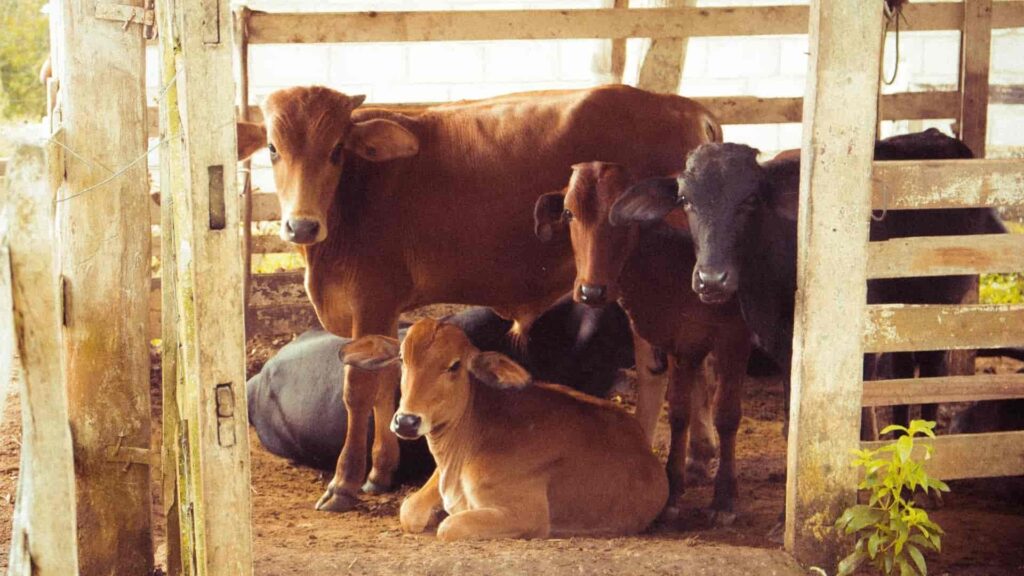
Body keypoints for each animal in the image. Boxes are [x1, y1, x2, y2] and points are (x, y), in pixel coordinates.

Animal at [235, 84, 720, 512]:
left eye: (337, 149)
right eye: (273, 148)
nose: (301, 225)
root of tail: (689, 109)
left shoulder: (370, 298)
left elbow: (358, 390)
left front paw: (344, 483)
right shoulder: (384, 309)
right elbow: (385, 381)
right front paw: (380, 471)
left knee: (662, 368)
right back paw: (700, 455)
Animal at [339, 318, 668, 540]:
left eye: (455, 366)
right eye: (402, 359)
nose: (407, 421)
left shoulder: (527, 514)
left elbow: (450, 527)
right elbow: (408, 511)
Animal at [533, 162, 751, 524]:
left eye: (622, 217)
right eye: (568, 212)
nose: (592, 291)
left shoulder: (734, 338)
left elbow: (727, 415)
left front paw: (723, 499)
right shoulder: (680, 342)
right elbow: (678, 413)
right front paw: (672, 492)